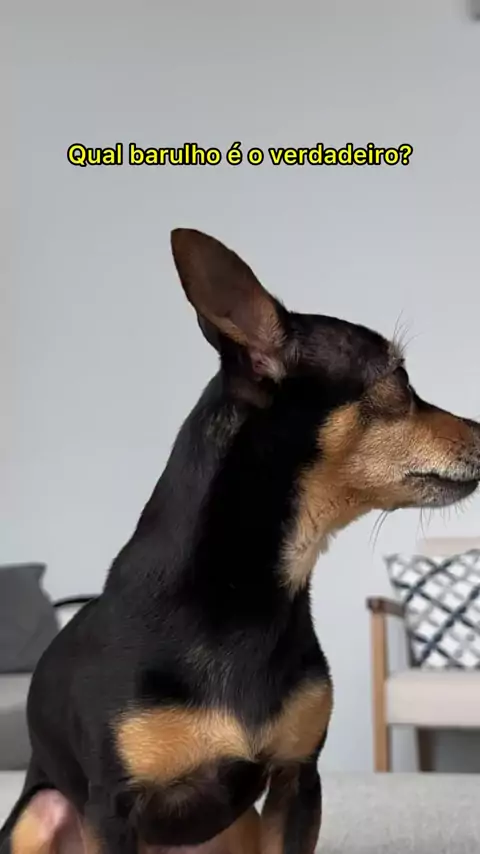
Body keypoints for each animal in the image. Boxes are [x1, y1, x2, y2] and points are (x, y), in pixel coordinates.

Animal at [2, 228, 480, 854]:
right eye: (400, 379)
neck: (245, 591)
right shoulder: (112, 810)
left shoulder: (297, 782)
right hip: (39, 815)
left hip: (242, 823)